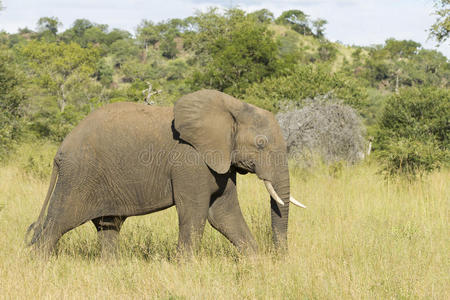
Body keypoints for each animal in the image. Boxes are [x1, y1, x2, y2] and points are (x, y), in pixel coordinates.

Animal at [26, 89, 304, 255]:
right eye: (261, 143)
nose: (280, 259)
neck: (232, 106)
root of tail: (60, 150)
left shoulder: (220, 161)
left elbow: (223, 213)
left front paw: (256, 264)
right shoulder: (190, 160)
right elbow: (196, 213)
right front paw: (187, 269)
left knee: (108, 227)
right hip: (79, 176)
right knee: (57, 224)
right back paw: (39, 266)